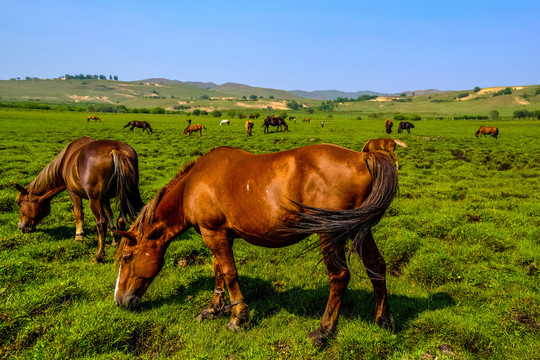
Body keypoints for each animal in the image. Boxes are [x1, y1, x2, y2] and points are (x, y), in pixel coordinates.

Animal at [15, 136, 143, 262]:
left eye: (20, 204)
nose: (21, 227)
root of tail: (116, 150)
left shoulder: (74, 193)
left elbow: (78, 214)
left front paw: (79, 236)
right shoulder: (105, 198)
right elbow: (110, 215)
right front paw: (115, 239)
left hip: (94, 200)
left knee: (101, 223)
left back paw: (99, 255)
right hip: (128, 194)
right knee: (125, 218)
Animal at [114, 143, 398, 346]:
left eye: (127, 258)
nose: (119, 301)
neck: (191, 186)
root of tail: (362, 158)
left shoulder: (213, 233)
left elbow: (229, 274)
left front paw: (238, 318)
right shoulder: (218, 234)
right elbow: (218, 272)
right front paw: (212, 309)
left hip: (331, 234)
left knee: (339, 277)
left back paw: (323, 331)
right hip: (359, 230)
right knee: (376, 266)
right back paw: (383, 320)